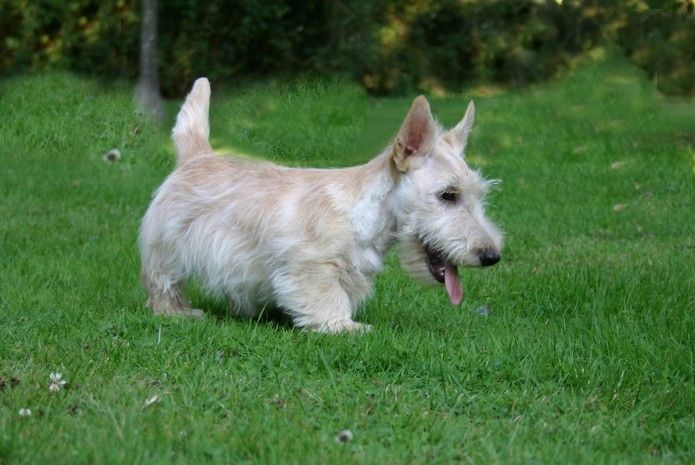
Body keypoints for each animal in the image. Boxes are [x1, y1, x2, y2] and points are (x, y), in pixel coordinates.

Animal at [139, 80, 502, 334]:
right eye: (447, 195)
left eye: (478, 196)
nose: (492, 256)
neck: (366, 215)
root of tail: (196, 155)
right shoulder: (311, 267)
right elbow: (326, 298)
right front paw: (346, 327)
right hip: (166, 249)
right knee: (163, 285)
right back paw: (179, 312)